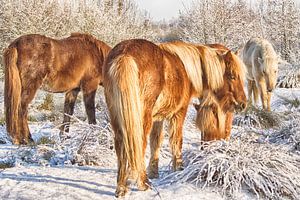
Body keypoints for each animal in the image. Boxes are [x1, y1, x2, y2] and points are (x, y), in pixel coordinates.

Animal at [102, 39, 246, 197]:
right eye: (233, 76)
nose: (243, 103)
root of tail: (124, 55)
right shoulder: (179, 113)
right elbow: (177, 141)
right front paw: (179, 168)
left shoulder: (158, 118)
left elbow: (156, 141)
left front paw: (154, 172)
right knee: (138, 144)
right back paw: (143, 183)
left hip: (117, 118)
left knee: (121, 146)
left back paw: (122, 187)